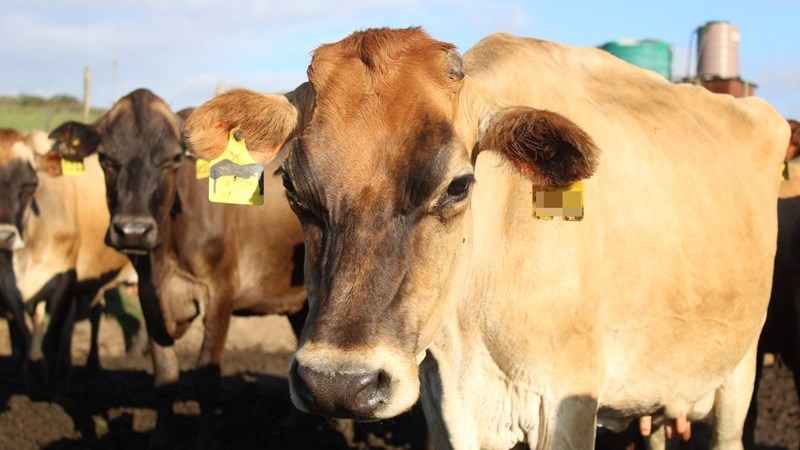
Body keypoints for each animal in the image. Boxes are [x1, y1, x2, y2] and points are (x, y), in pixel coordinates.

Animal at [0, 127, 134, 380]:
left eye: (31, 185)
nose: (4, 235)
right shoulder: (8, 288)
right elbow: (20, 342)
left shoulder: (64, 279)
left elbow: (51, 342)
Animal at [49, 89, 307, 401]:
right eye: (106, 159)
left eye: (172, 159)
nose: (133, 231)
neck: (166, 254)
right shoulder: (149, 293)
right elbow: (166, 375)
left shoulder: (221, 292)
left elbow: (205, 379)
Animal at [184, 28, 789, 449]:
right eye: (290, 183)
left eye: (458, 184)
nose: (339, 384)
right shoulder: (444, 404)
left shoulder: (567, 404)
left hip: (739, 368)